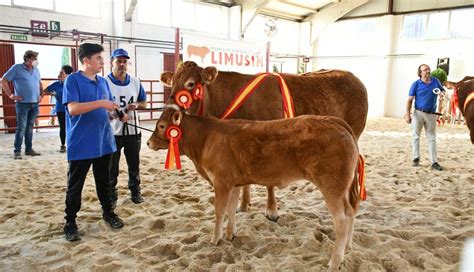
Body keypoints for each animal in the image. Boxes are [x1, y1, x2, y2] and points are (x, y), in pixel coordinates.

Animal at [147, 109, 360, 270]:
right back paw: (348, 247)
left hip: (331, 186)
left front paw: (215, 239)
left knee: (342, 219)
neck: (206, 139)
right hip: (342, 189)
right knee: (351, 212)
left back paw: (334, 261)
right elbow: (231, 209)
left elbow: (219, 211)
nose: (148, 142)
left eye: (162, 126)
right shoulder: (233, 184)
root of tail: (334, 121)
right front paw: (230, 234)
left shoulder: (221, 182)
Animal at [161, 61, 368, 221]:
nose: (170, 111)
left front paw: (272, 210)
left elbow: (270, 182)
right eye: (171, 84)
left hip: (355, 133)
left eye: (190, 84)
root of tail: (353, 77)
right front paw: (244, 204)